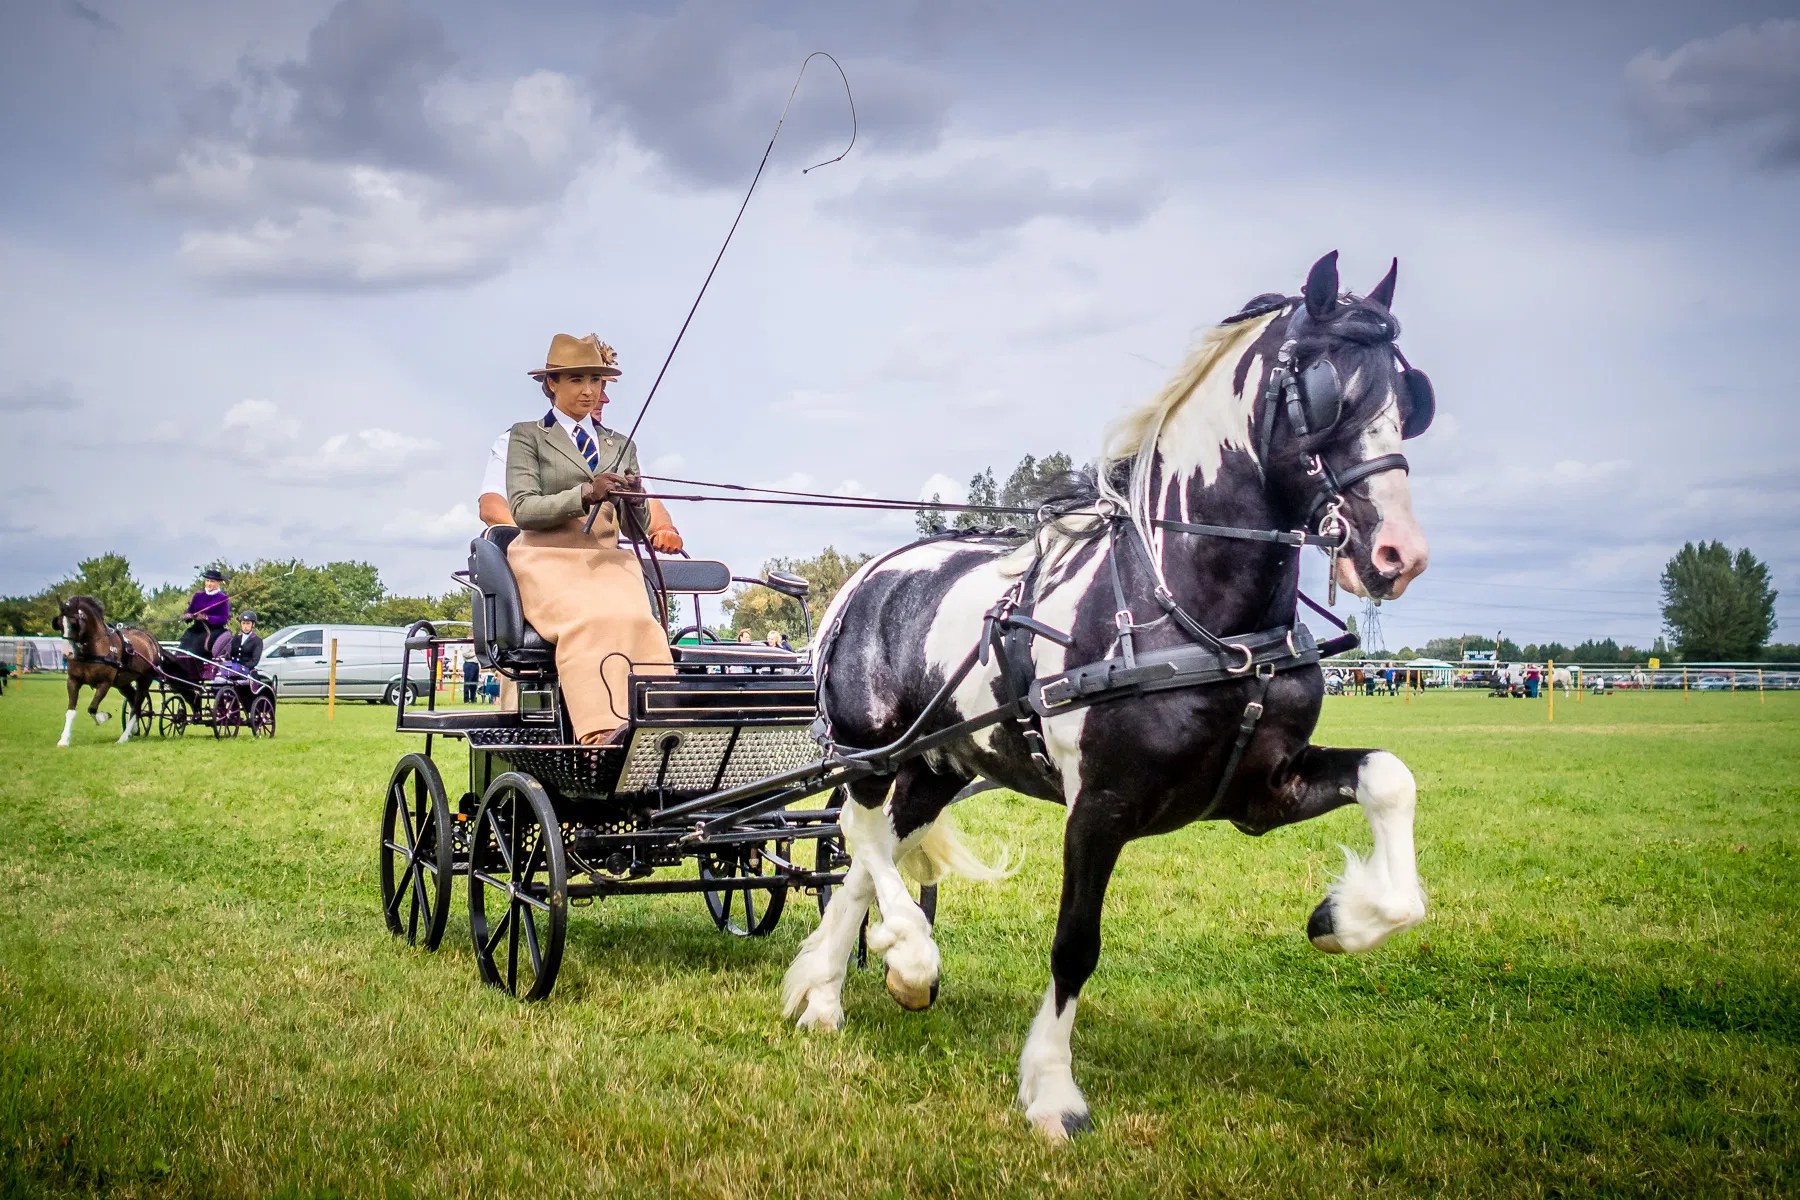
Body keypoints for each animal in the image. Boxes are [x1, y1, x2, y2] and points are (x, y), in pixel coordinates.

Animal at [54, 595, 164, 746]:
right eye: (59, 623)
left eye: (74, 623)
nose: (67, 653)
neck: (94, 649)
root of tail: (150, 639)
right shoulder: (73, 681)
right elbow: (70, 711)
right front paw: (64, 740)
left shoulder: (104, 683)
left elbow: (92, 708)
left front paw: (103, 717)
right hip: (122, 683)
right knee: (132, 699)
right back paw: (134, 729)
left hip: (144, 680)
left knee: (137, 707)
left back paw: (123, 737)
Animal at [782, 251, 1434, 1138]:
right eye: (1326, 389)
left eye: (1411, 397)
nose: (1399, 553)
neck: (1192, 615)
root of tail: (864, 580)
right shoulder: (1098, 807)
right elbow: (1075, 945)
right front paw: (1052, 1091)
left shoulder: (1263, 791)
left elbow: (1389, 779)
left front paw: (1342, 918)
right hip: (867, 753)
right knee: (863, 834)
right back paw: (907, 953)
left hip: (935, 766)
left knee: (862, 852)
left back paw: (834, 991)